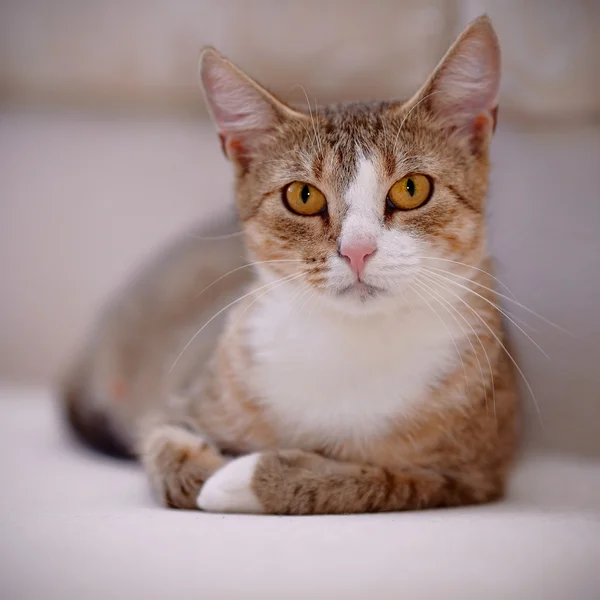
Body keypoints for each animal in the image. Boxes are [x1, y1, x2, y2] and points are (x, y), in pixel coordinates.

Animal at [63, 17, 516, 516]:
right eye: (303, 196)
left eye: (412, 188)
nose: (357, 250)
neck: (352, 344)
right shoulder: (176, 403)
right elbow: (165, 450)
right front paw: (205, 469)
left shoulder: (470, 475)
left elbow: (372, 480)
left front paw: (242, 478)